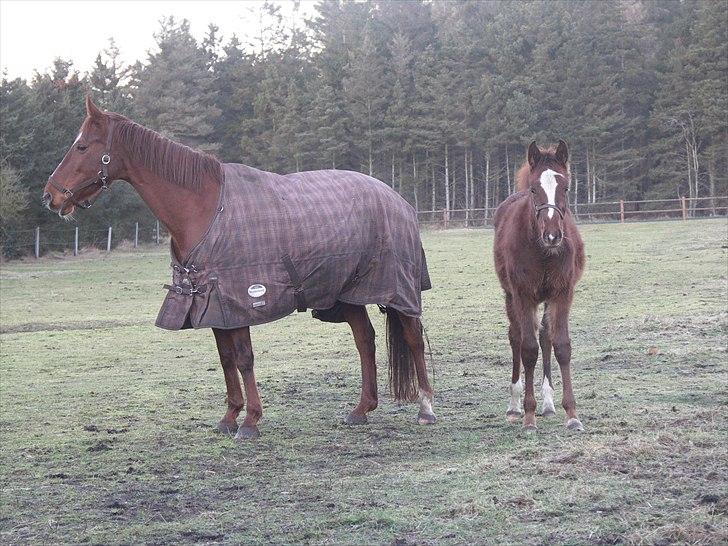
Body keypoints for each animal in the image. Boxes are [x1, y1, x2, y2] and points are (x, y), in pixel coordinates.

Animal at [42, 95, 436, 440]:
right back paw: (362, 409)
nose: (51, 196)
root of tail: (397, 198)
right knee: (364, 340)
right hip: (347, 293)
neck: (202, 207)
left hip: (398, 288)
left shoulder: (240, 300)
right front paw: (230, 416)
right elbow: (226, 358)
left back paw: (426, 408)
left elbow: (244, 359)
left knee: (413, 338)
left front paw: (250, 422)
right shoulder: (211, 303)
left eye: (82, 147)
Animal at [490, 142, 584, 432]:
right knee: (516, 338)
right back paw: (514, 406)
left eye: (565, 188)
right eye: (534, 189)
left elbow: (561, 345)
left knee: (545, 336)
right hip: (510, 296)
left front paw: (571, 414)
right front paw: (529, 416)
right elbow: (528, 349)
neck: (544, 253)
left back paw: (549, 404)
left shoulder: (562, 293)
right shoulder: (523, 295)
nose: (552, 235)